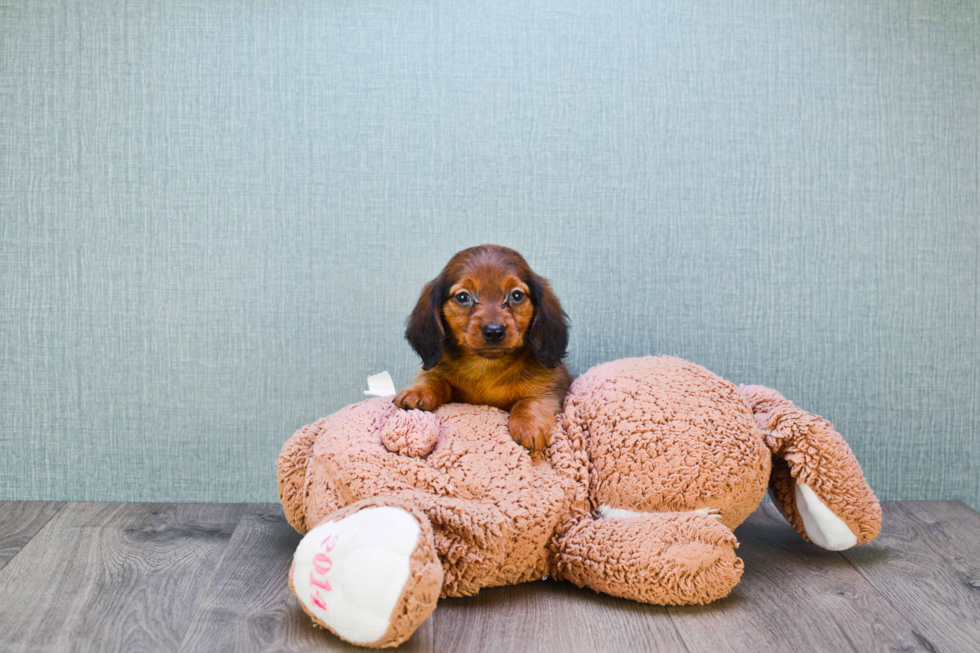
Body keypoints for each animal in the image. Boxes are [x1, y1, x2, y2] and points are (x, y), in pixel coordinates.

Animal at [394, 244, 572, 454]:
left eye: (517, 295)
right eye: (463, 297)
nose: (494, 331)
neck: (485, 367)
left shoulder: (552, 388)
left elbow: (529, 401)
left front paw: (528, 425)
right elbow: (434, 379)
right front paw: (419, 391)